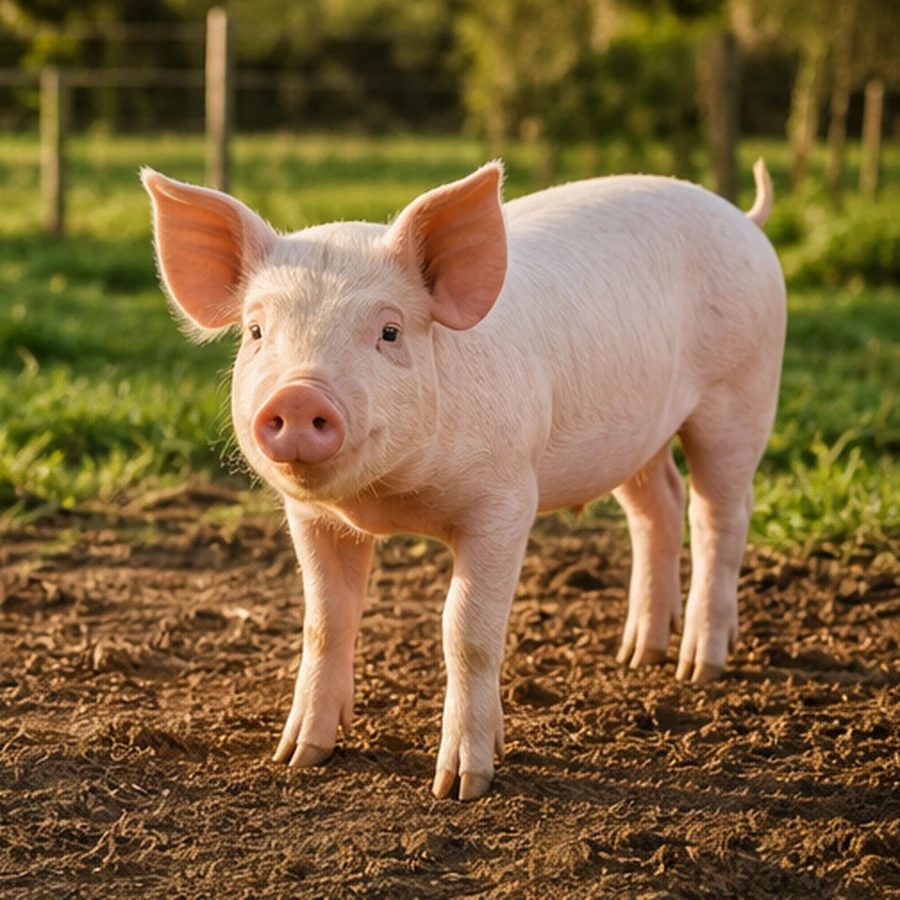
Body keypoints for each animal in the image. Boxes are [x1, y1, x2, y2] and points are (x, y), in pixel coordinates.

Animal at [142, 158, 785, 800]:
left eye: (390, 332)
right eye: (256, 332)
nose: (299, 396)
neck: (389, 500)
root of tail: (742, 219)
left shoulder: (506, 500)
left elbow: (466, 631)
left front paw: (460, 786)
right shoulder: (312, 517)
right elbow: (325, 622)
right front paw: (298, 756)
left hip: (742, 394)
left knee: (720, 514)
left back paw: (699, 666)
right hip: (632, 434)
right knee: (660, 507)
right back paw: (636, 655)